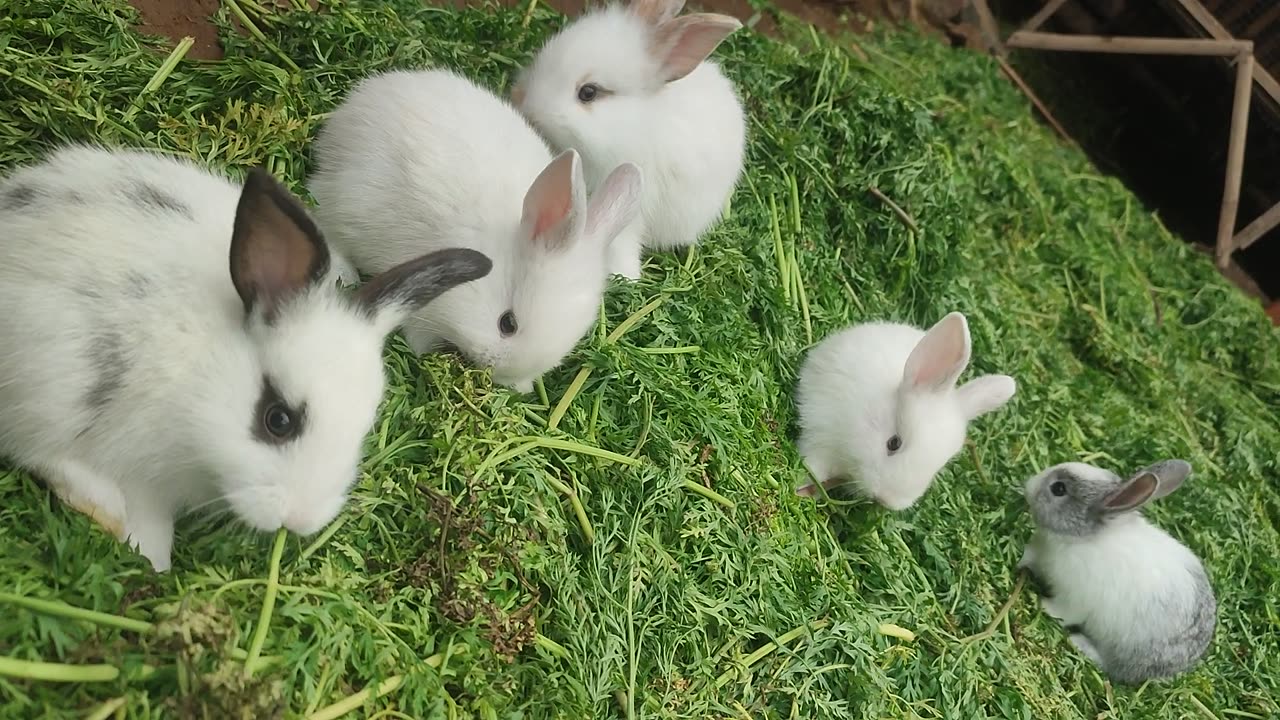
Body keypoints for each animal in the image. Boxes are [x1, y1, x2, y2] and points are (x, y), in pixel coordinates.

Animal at [793, 311, 1013, 507]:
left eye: (937, 468)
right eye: (893, 443)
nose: (886, 500)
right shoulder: (823, 433)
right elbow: (814, 467)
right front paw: (799, 487)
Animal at [1018, 456, 1218, 681]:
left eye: (1059, 489)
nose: (1029, 485)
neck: (1082, 539)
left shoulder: (1075, 600)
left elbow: (1062, 612)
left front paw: (1041, 603)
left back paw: (1079, 642)